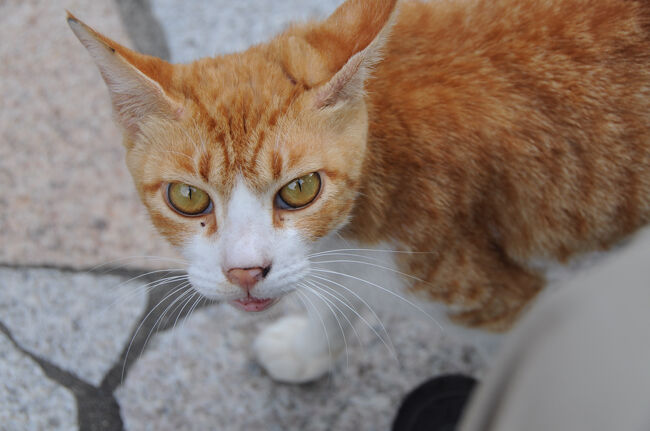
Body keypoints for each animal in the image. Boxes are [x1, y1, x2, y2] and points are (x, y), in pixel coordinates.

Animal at [68, 0, 644, 384]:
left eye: (300, 188)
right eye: (188, 198)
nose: (245, 272)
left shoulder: (504, 305)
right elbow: (335, 299)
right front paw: (310, 351)